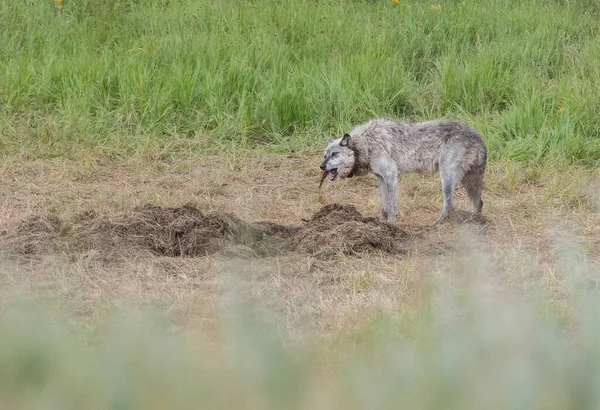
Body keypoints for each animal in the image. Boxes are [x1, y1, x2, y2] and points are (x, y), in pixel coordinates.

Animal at [318, 118, 488, 224]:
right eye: (325, 155)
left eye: (334, 154)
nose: (322, 167)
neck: (365, 144)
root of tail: (478, 136)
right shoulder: (381, 178)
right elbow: (384, 205)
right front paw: (383, 224)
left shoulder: (391, 176)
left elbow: (392, 205)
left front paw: (391, 224)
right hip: (467, 180)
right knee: (478, 203)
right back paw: (474, 222)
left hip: (447, 177)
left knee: (450, 204)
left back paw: (436, 224)